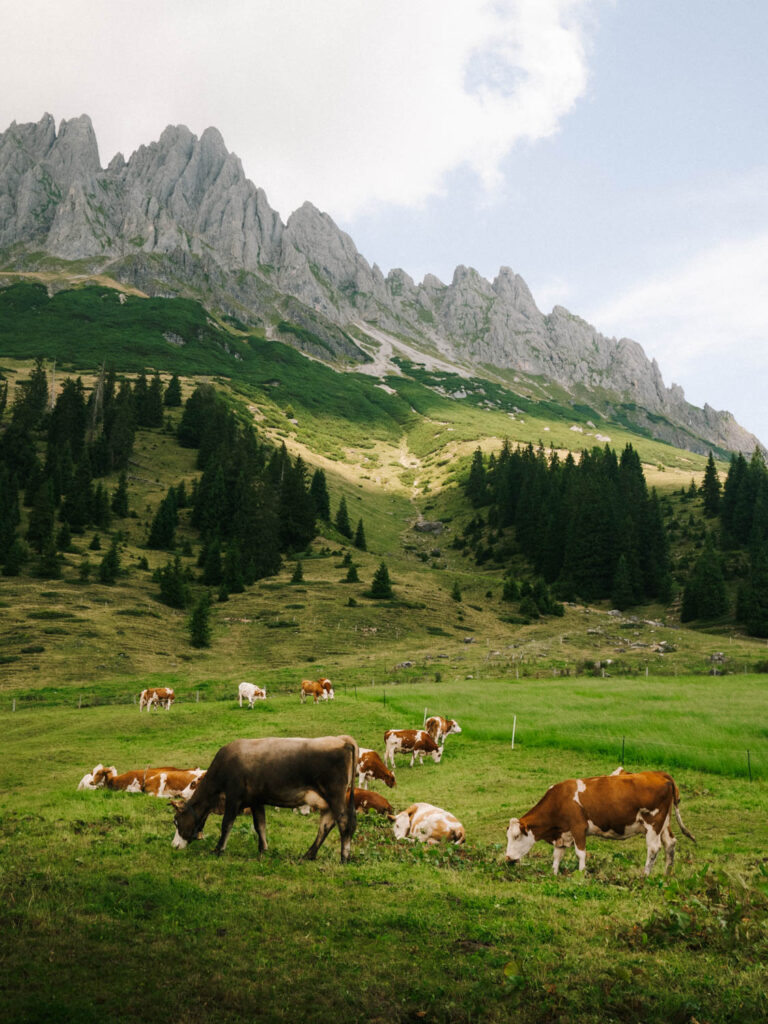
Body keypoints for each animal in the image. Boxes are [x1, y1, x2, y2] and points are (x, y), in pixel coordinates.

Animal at [170, 735, 359, 862]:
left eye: (176, 821)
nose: (174, 846)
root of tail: (342, 740)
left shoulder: (233, 797)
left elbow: (227, 824)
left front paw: (218, 850)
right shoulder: (256, 800)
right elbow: (260, 825)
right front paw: (263, 850)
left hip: (335, 795)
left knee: (343, 823)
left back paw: (344, 857)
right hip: (328, 802)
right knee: (325, 826)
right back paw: (308, 855)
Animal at [504, 770, 696, 876]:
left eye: (516, 836)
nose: (507, 858)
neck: (560, 800)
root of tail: (658, 774)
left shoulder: (578, 828)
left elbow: (580, 854)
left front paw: (581, 874)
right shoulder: (563, 833)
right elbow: (557, 855)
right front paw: (554, 874)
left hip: (653, 824)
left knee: (654, 848)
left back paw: (646, 874)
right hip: (664, 824)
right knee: (670, 844)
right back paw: (666, 875)